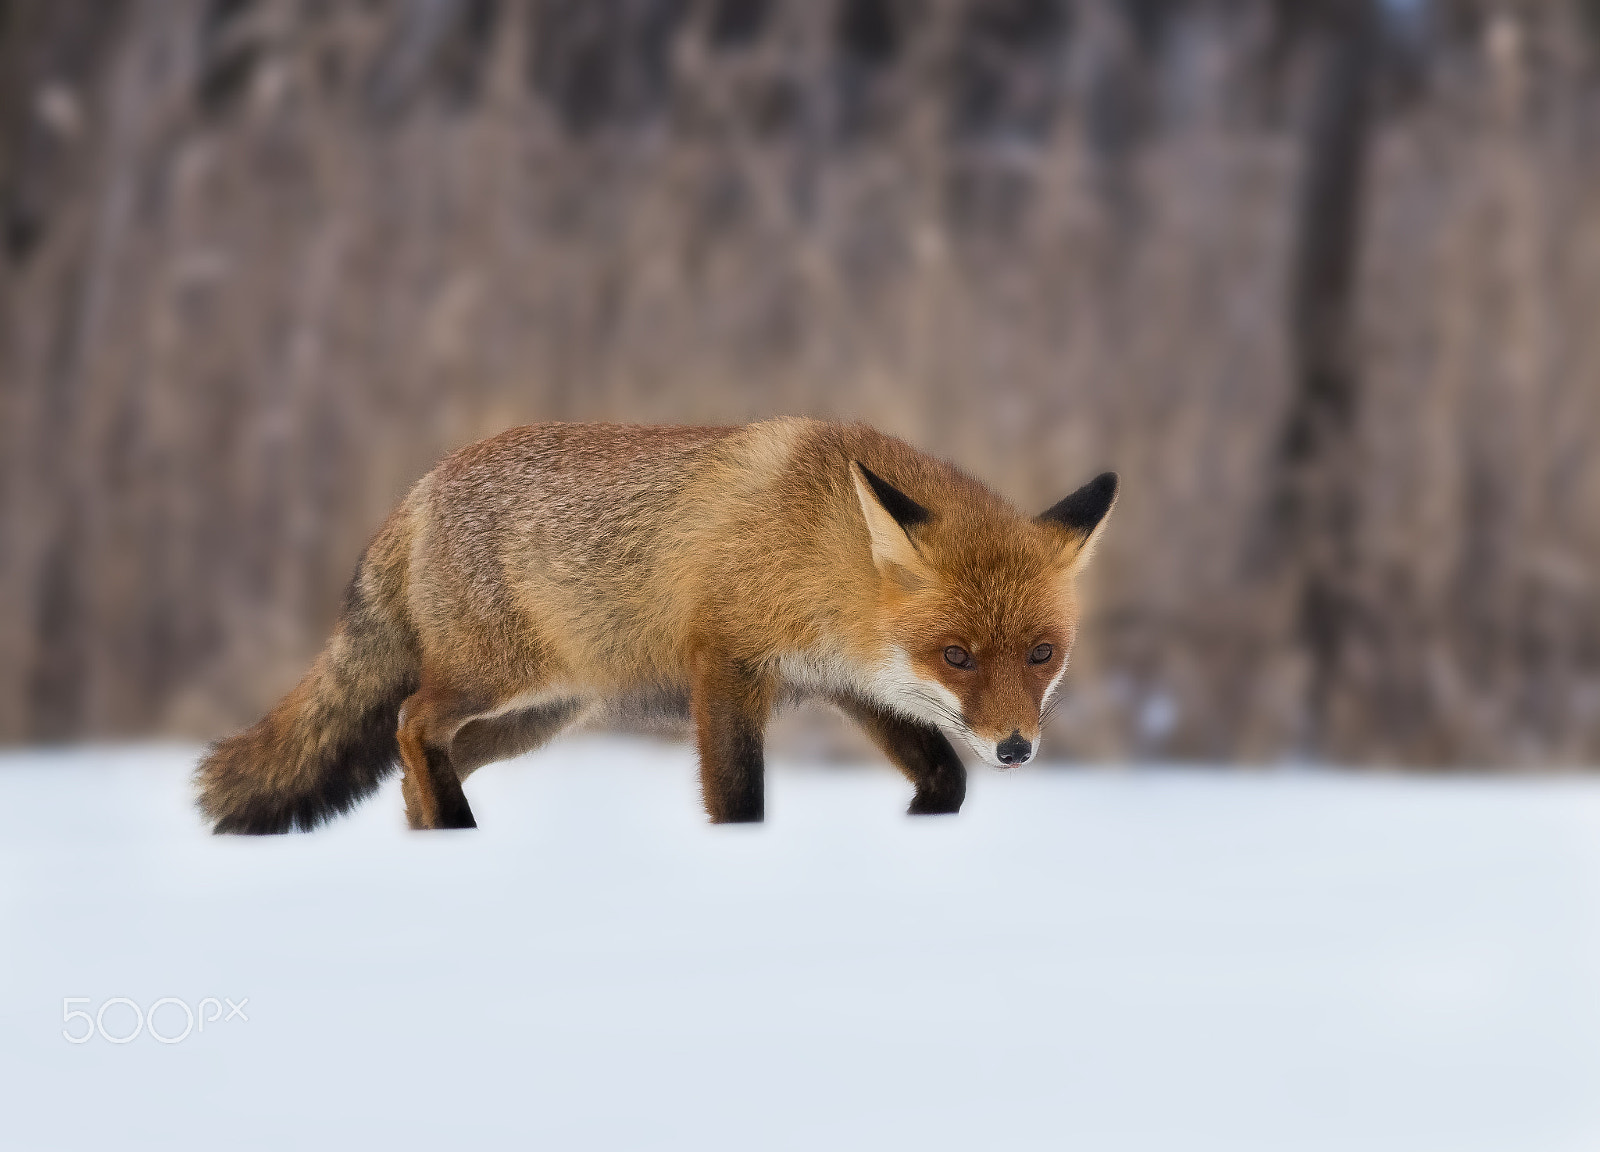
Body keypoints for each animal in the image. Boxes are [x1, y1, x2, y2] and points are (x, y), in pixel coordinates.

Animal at [193, 419, 1120, 832]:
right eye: (957, 655)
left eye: (1042, 654)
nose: (1016, 748)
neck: (819, 545)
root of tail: (421, 486)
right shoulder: (728, 663)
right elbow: (737, 795)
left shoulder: (851, 683)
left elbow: (944, 778)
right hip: (498, 680)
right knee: (407, 720)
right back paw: (456, 830)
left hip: (537, 717)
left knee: (414, 762)